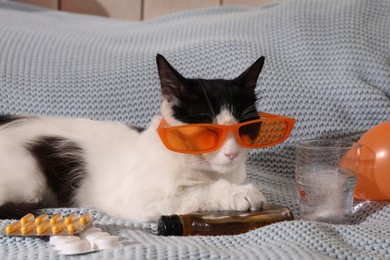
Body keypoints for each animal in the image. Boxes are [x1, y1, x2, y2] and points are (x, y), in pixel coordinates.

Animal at [0, 54, 266, 221]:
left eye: (244, 128)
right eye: (208, 131)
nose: (231, 153)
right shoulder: (137, 200)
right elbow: (195, 192)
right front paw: (240, 193)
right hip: (30, 180)